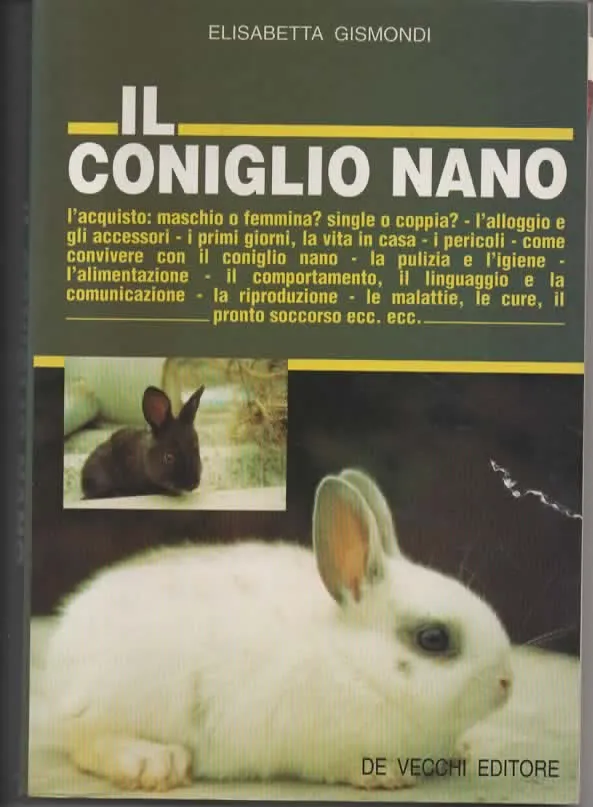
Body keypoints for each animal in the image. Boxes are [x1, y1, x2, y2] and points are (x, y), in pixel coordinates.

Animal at [43, 468, 513, 791]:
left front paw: (461, 752)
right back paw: (155, 762)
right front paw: (387, 777)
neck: (357, 667)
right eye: (433, 639)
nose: (508, 682)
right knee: (82, 738)